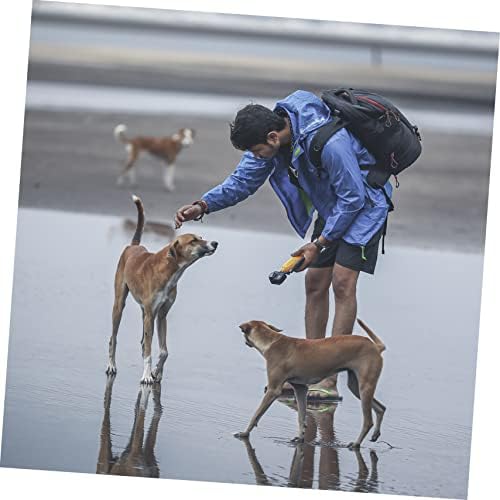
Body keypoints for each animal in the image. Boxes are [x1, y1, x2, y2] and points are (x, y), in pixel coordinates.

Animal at [106, 195, 218, 382]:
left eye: (201, 236)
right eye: (193, 241)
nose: (215, 243)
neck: (170, 270)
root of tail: (133, 245)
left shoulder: (161, 315)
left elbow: (163, 351)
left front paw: (156, 372)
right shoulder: (151, 315)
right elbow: (149, 351)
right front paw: (147, 376)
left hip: (144, 312)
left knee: (143, 342)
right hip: (119, 305)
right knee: (113, 338)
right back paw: (111, 365)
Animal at [235, 320, 386, 450]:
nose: (245, 342)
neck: (272, 341)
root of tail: (375, 346)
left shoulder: (273, 390)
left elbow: (256, 414)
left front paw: (244, 433)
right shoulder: (301, 389)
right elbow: (301, 417)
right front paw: (300, 438)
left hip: (364, 387)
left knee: (368, 421)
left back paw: (356, 443)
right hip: (356, 387)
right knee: (381, 408)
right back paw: (375, 434)